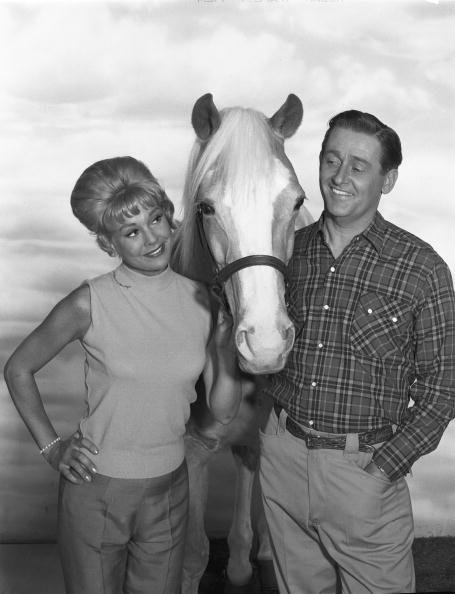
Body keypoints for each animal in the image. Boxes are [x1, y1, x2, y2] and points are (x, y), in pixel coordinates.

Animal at [171, 93, 314, 592]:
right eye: (206, 207)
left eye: (297, 201)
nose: (266, 342)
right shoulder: (191, 448)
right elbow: (193, 553)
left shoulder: (262, 438)